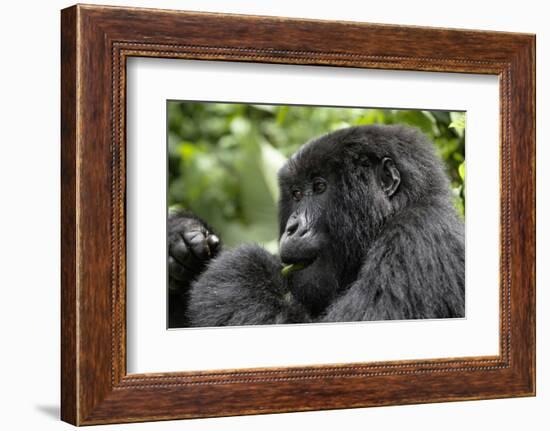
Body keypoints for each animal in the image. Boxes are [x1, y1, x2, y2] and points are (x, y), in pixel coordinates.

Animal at [168, 125, 466, 328]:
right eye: (297, 194)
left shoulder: (416, 239)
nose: (292, 228)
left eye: (320, 187)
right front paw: (181, 238)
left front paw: (240, 267)